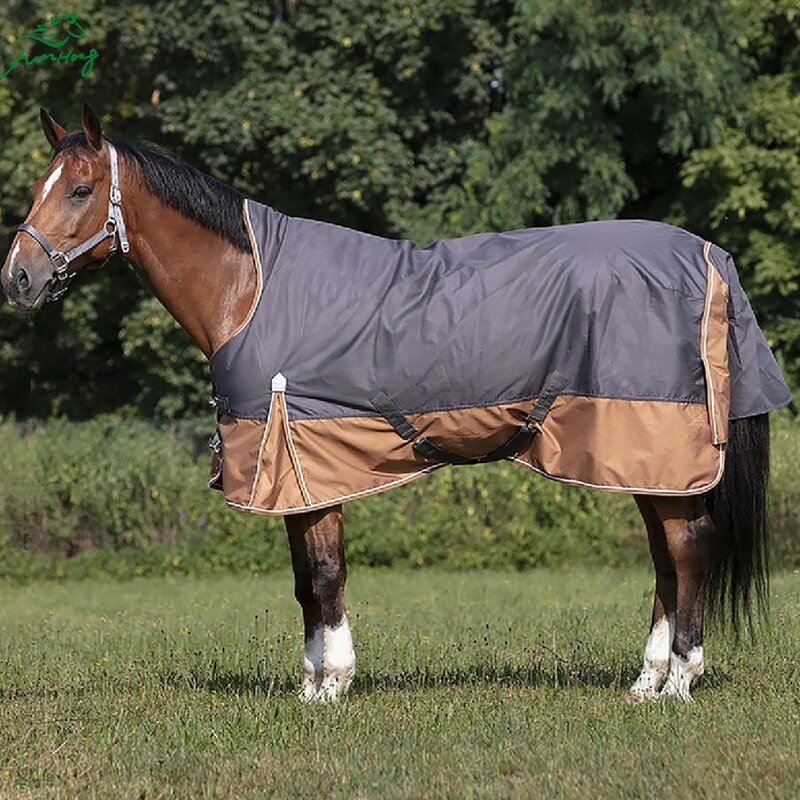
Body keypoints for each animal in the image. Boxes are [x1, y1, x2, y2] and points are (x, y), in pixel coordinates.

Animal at [1, 105, 790, 703]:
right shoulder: (304, 476)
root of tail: (706, 255)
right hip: (641, 461)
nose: (18, 278)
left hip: (657, 450)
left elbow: (323, 575)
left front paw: (331, 687)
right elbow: (306, 582)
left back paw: (678, 682)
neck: (249, 288)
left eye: (79, 189)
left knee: (687, 550)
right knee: (666, 558)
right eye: (40, 183)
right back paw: (644, 679)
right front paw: (313, 684)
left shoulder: (305, 465)